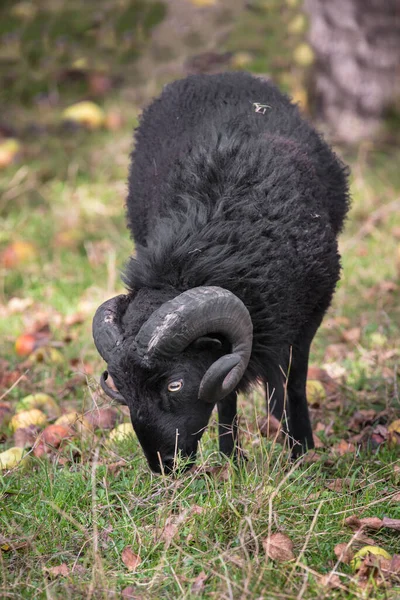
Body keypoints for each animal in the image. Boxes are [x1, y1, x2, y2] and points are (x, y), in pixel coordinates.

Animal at [92, 71, 348, 474]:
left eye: (175, 385)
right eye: (121, 386)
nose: (164, 465)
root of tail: (210, 75)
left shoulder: (312, 311)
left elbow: (295, 381)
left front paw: (302, 450)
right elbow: (228, 393)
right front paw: (232, 459)